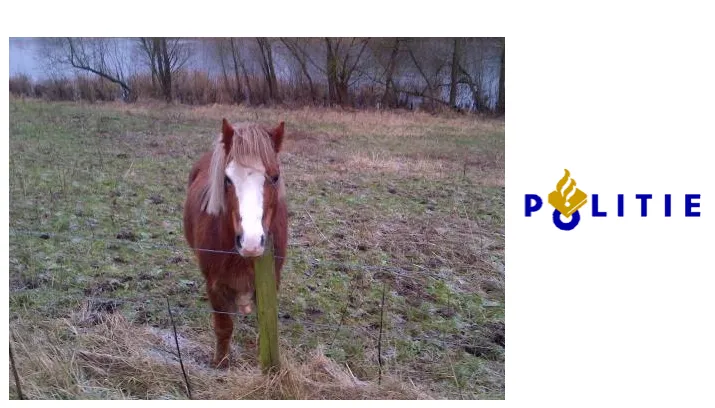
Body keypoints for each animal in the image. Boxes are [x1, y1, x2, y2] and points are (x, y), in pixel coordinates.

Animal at [183, 118, 288, 367]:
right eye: (227, 179)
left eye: (275, 177)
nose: (250, 242)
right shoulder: (215, 286)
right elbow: (224, 328)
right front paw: (221, 365)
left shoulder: (270, 282)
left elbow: (265, 327)